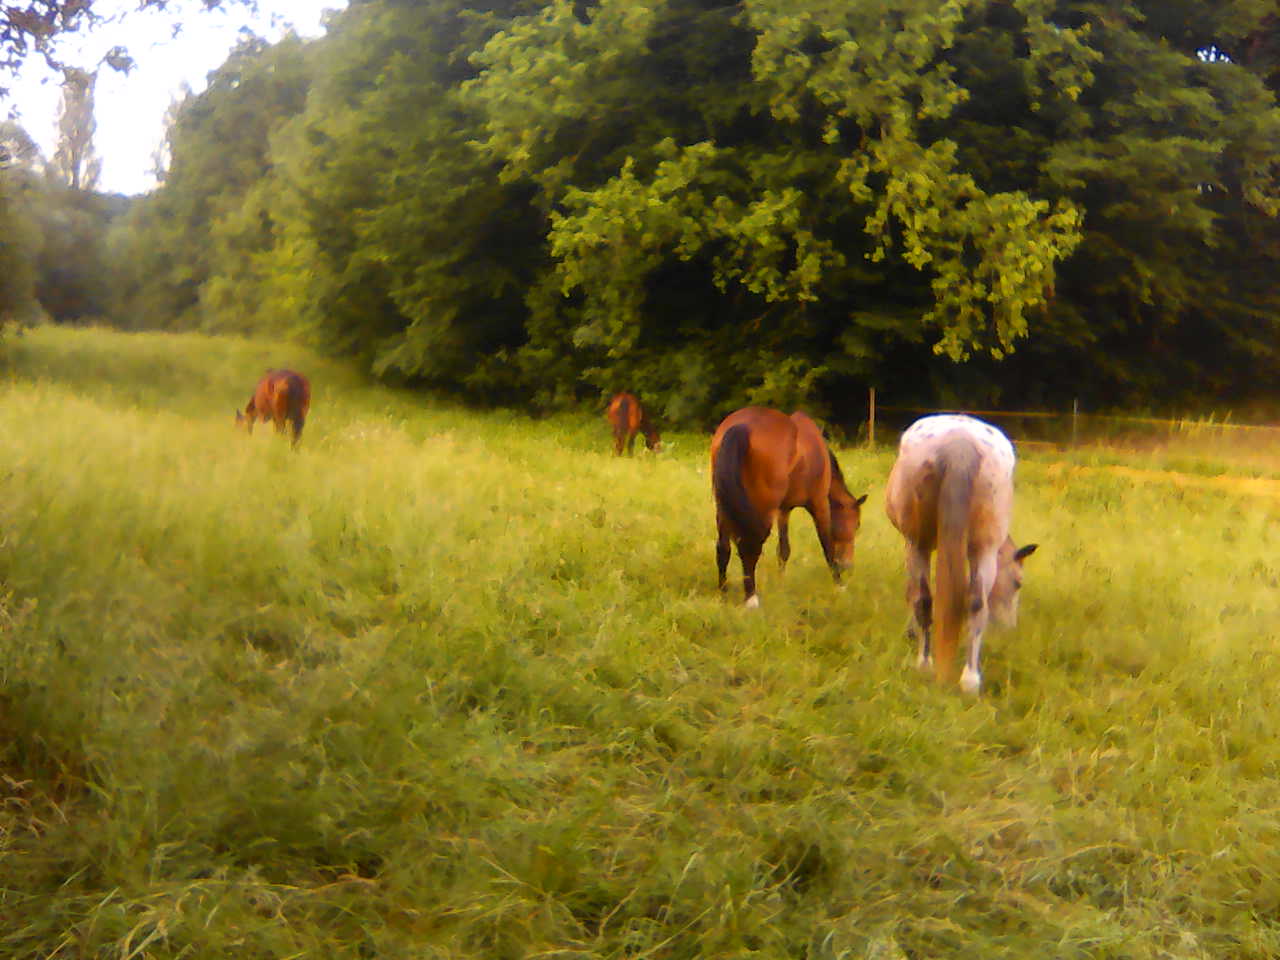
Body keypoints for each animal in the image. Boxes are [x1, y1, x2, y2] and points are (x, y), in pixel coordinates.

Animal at [711, 407, 870, 609]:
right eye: (857, 524)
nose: (848, 566)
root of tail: (741, 426)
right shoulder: (819, 503)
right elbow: (827, 545)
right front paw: (840, 586)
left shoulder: (784, 510)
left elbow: (783, 550)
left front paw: (781, 583)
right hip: (762, 512)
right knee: (750, 549)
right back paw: (751, 599)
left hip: (724, 508)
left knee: (723, 548)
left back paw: (723, 594)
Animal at [885, 417, 1034, 696]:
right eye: (1018, 583)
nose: (1010, 628)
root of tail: (960, 441)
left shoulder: (910, 544)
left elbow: (912, 593)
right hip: (982, 548)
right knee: (976, 602)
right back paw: (970, 680)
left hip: (919, 544)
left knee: (924, 599)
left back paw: (925, 664)